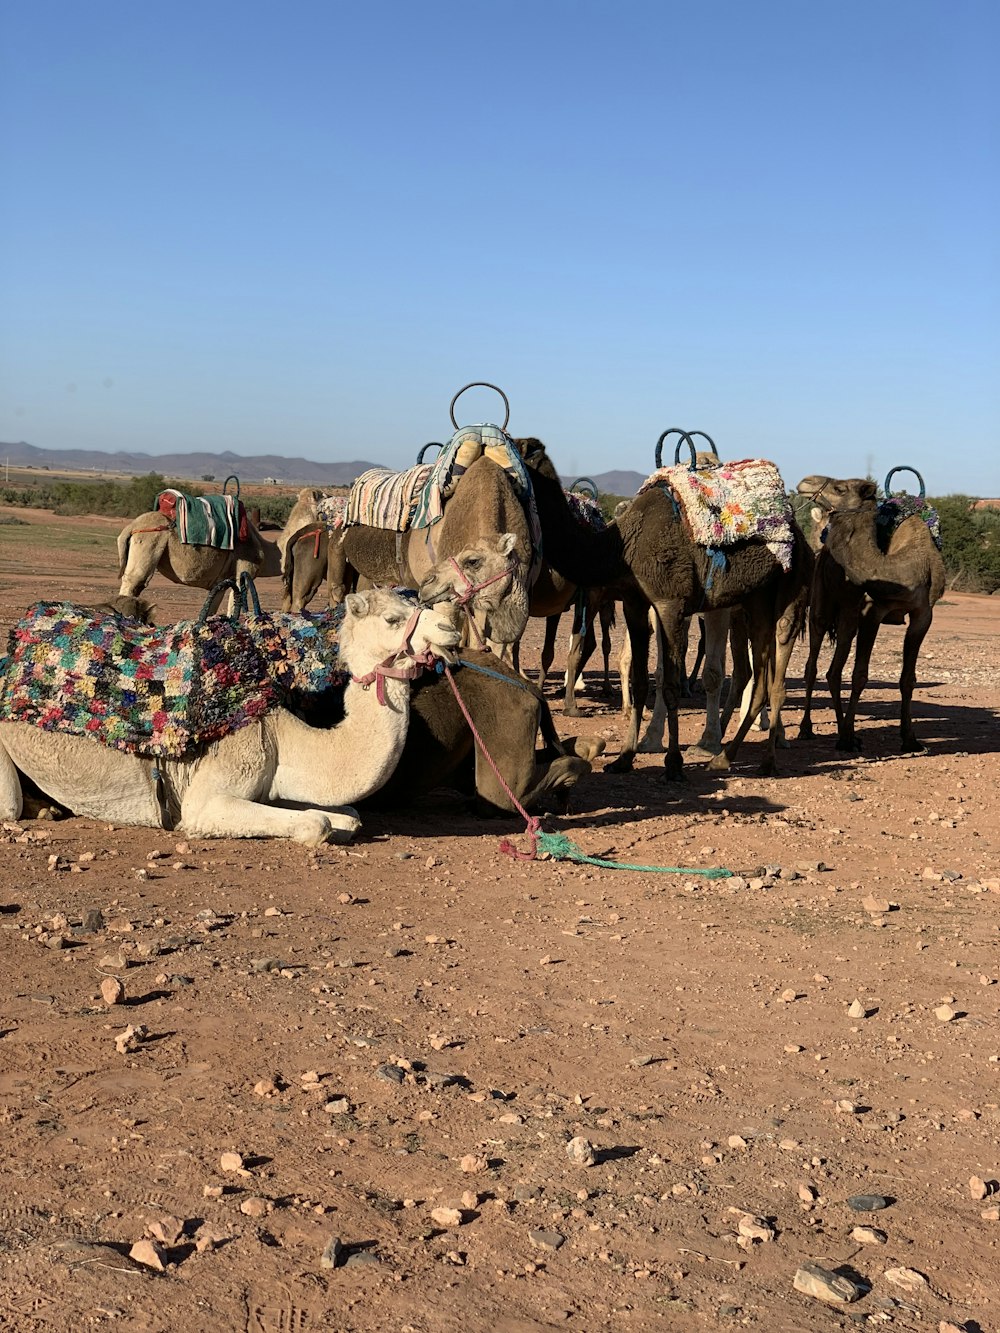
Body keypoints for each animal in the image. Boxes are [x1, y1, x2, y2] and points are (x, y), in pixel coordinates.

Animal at [0, 591, 461, 842]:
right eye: (393, 618)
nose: (450, 628)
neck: (279, 734)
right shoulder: (205, 799)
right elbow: (317, 824)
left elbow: (348, 818)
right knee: (8, 807)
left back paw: (48, 807)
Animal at [800, 477, 949, 751]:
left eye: (839, 488)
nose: (805, 482)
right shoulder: (872, 611)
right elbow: (860, 675)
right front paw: (848, 738)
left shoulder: (923, 615)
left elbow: (908, 678)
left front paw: (910, 739)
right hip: (821, 607)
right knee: (812, 666)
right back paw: (808, 729)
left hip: (848, 618)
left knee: (834, 670)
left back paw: (842, 731)